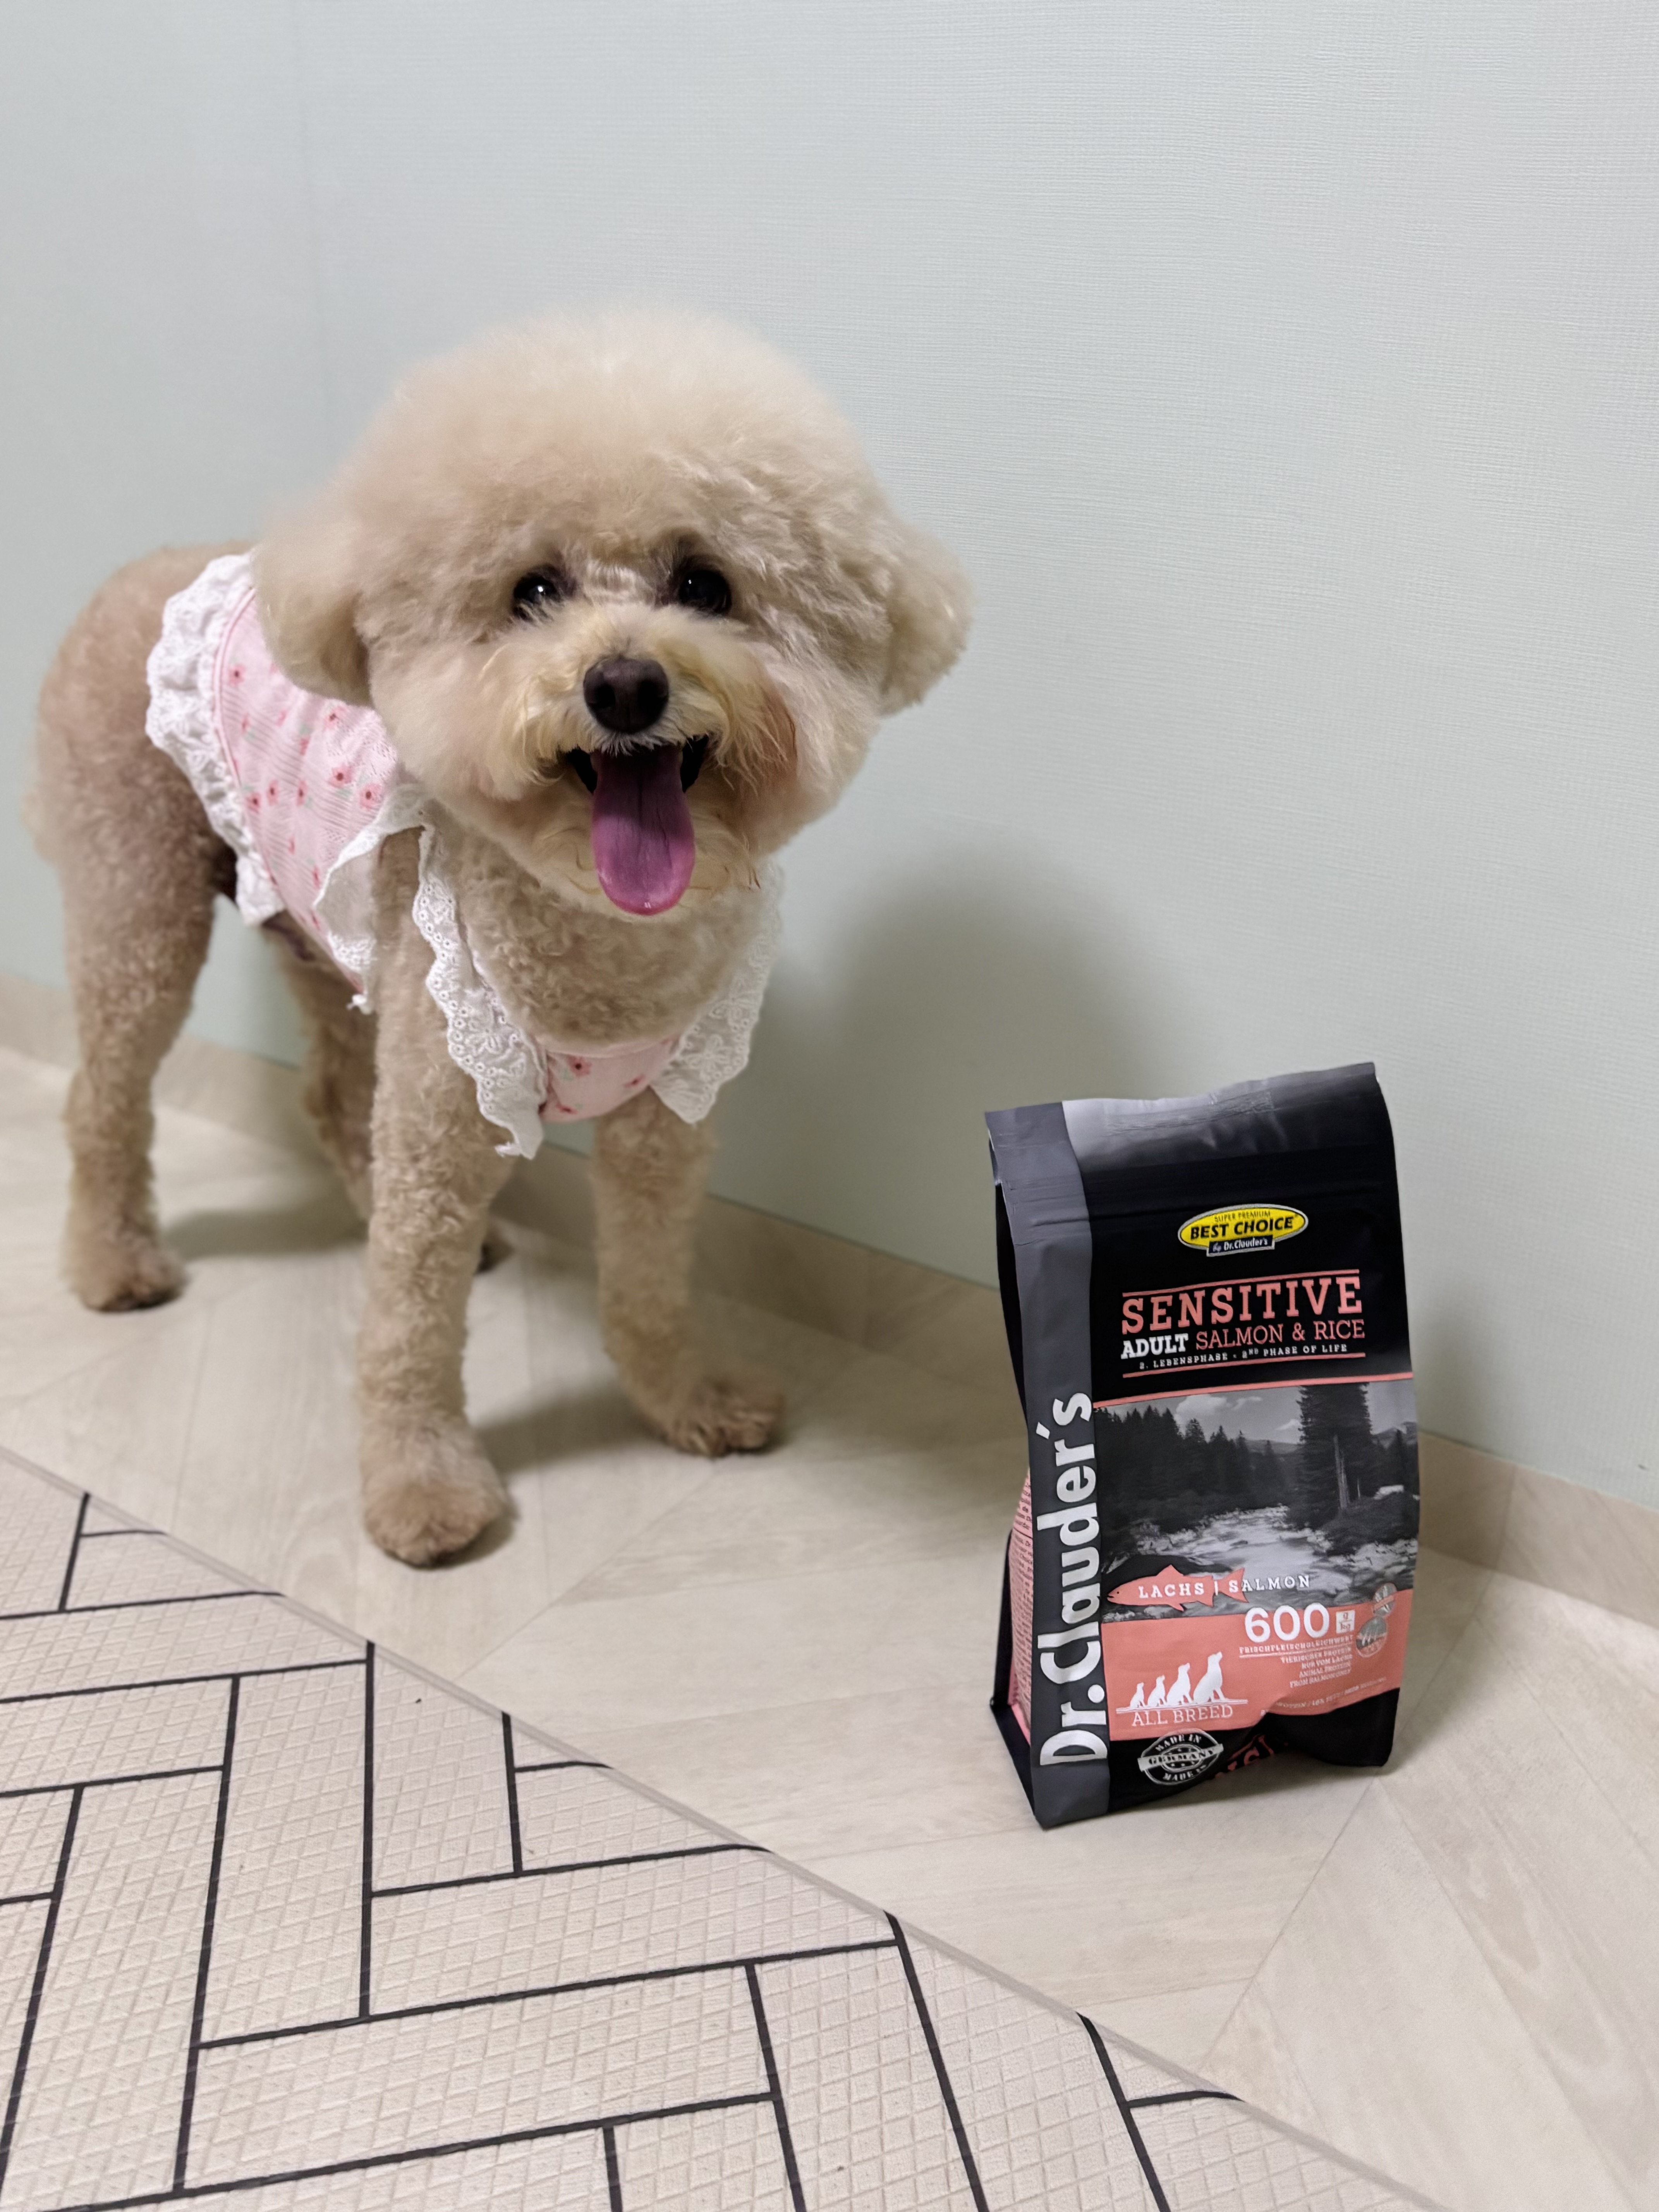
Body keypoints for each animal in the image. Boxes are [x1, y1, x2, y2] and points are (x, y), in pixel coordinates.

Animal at [32, 312, 969, 1565]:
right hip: (141, 903)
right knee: (105, 1095)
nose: (624, 684)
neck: (597, 941)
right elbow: (411, 1326)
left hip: (324, 941)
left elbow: (648, 1283)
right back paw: (115, 1264)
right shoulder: (444, 1105)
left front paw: (687, 1400)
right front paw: (422, 1489)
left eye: (704, 583)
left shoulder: (664, 1128)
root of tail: (138, 569)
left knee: (331, 1093)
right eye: (533, 589)